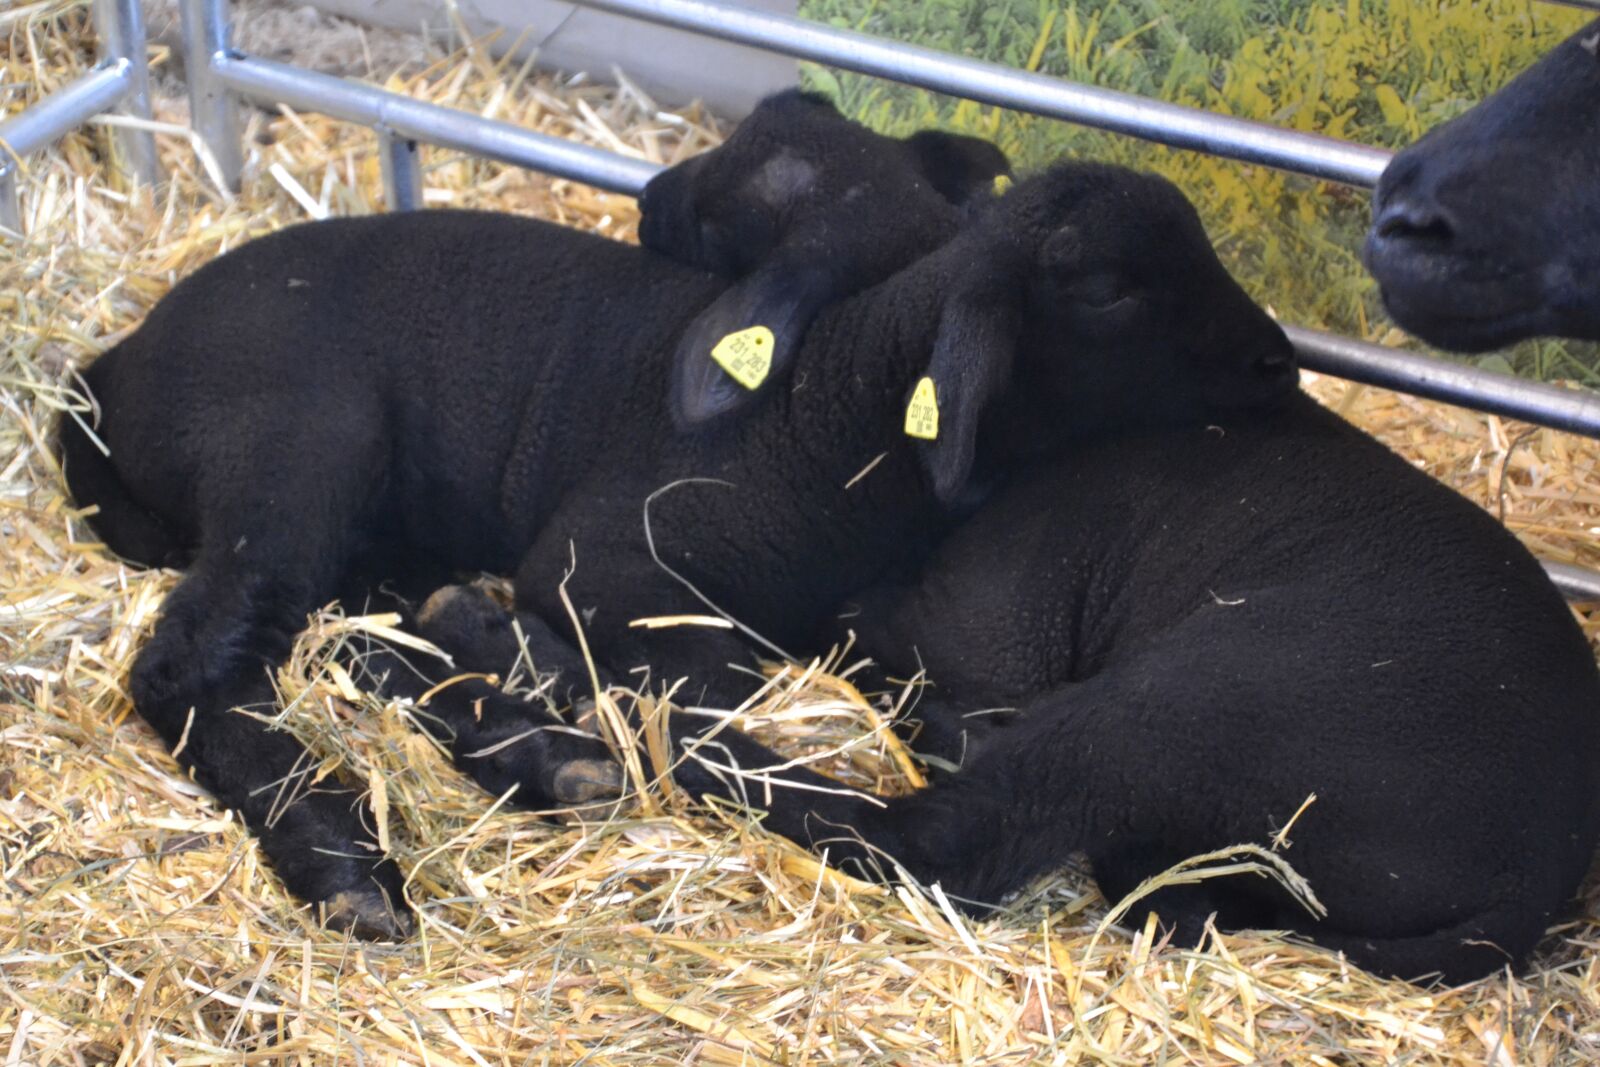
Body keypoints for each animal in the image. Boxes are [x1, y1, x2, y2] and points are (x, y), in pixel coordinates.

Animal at [57, 96, 1292, 936]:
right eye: (1107, 288)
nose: (1281, 362)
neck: (825, 415)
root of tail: (108, 368)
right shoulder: (605, 560)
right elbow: (710, 695)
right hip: (297, 448)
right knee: (188, 663)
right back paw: (346, 860)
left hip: (371, 519)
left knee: (354, 632)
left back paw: (545, 754)